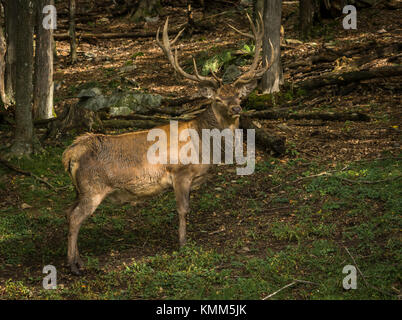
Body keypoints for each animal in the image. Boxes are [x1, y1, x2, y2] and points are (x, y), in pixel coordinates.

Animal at [62, 13, 274, 276]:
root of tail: (72, 152)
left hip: (79, 189)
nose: (236, 108)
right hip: (93, 187)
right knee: (75, 217)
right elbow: (183, 209)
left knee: (68, 212)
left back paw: (77, 260)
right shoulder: (180, 172)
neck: (205, 146)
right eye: (217, 99)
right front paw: (183, 244)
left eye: (239, 96)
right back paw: (74, 265)